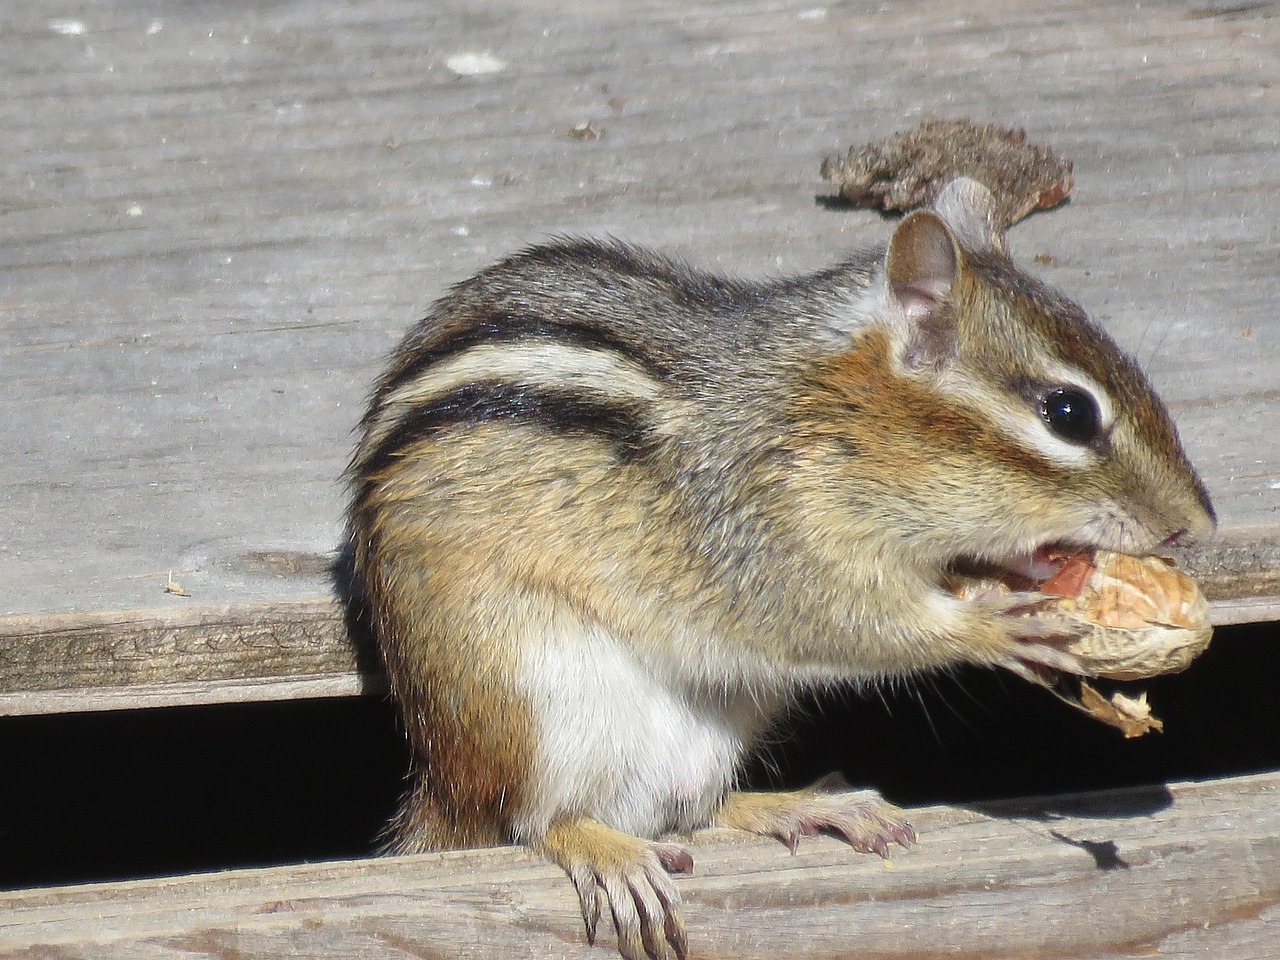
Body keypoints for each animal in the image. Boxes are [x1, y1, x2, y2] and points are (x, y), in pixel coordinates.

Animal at [347, 177, 1215, 960]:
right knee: (532, 820)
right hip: (528, 689)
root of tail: (440, 780)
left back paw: (800, 808)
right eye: (1068, 414)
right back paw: (607, 852)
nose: (1196, 525)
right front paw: (991, 627)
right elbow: (844, 622)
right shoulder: (765, 536)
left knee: (688, 809)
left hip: (720, 718)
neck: (832, 414)